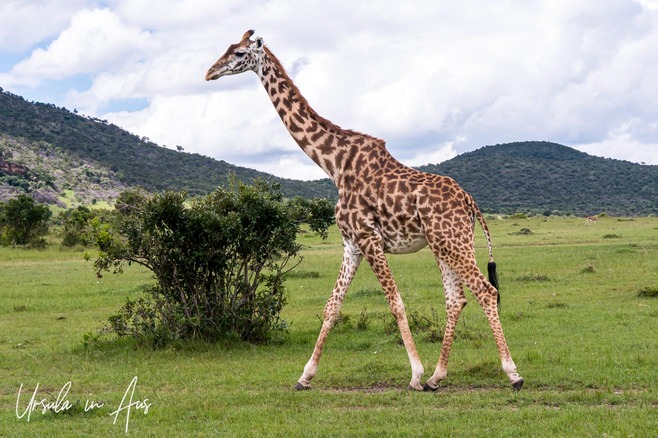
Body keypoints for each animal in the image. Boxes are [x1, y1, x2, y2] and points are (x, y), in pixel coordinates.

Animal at [205, 30, 523, 392]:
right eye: (227, 48)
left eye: (239, 53)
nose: (210, 72)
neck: (335, 165)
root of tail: (471, 201)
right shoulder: (352, 244)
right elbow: (332, 306)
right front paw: (305, 376)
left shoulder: (369, 238)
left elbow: (395, 303)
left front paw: (415, 375)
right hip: (445, 244)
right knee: (456, 299)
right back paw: (437, 377)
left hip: (452, 241)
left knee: (486, 291)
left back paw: (511, 373)